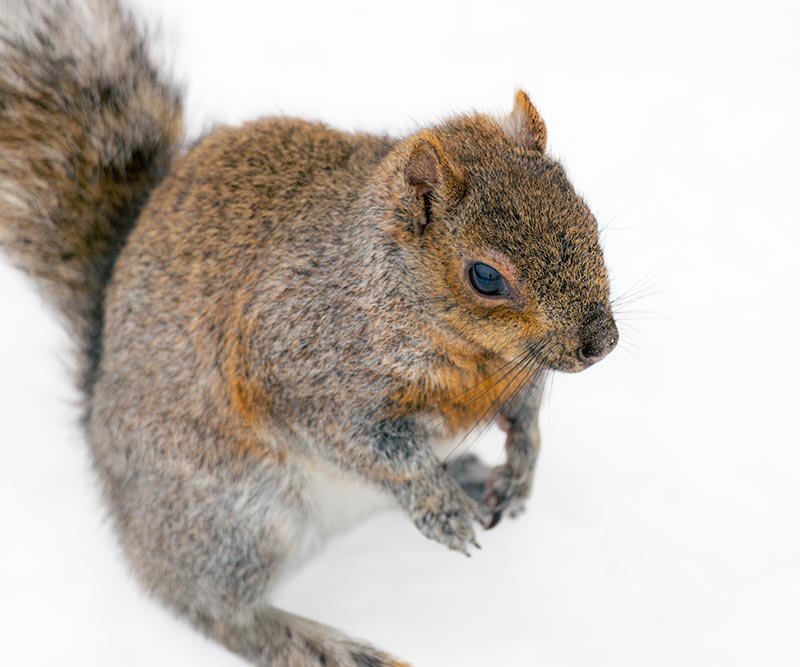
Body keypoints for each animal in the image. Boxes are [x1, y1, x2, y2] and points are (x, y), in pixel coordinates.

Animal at [0, 1, 618, 665]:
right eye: (485, 277)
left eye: (588, 218)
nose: (600, 343)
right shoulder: (296, 366)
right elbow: (373, 448)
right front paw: (436, 504)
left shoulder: (516, 371)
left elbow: (524, 411)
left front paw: (521, 464)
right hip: (234, 518)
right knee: (213, 610)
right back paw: (323, 642)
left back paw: (472, 477)